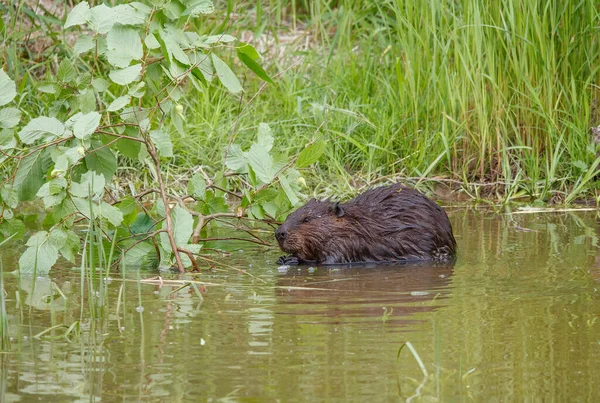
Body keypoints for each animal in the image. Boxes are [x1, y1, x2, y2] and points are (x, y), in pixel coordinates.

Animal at [274, 185, 458, 266]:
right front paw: (283, 258)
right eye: (289, 215)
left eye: (307, 219)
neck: (356, 225)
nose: (279, 233)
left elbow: (327, 262)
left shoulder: (347, 244)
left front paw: (292, 259)